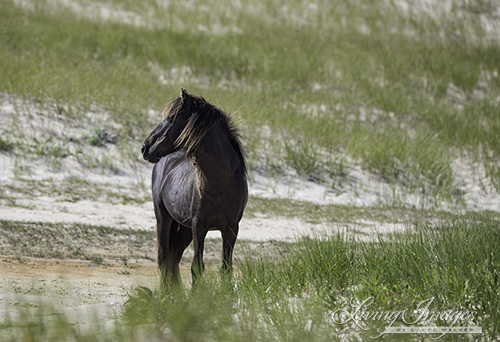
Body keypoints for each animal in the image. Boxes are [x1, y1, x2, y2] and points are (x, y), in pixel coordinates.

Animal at [142, 89, 247, 286]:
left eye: (172, 118)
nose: (145, 148)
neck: (219, 185)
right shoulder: (199, 227)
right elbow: (196, 267)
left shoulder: (231, 229)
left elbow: (226, 268)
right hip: (163, 217)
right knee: (163, 258)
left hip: (185, 229)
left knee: (173, 258)